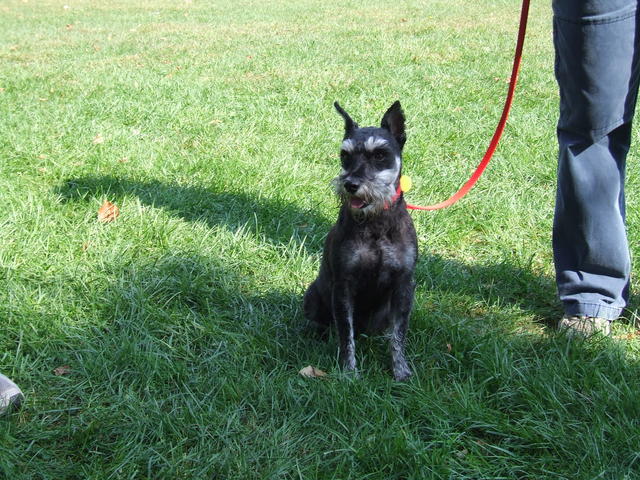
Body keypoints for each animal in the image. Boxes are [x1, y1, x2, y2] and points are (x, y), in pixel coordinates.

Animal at [303, 101, 418, 380]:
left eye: (380, 155)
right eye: (345, 155)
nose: (351, 184)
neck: (376, 224)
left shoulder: (404, 285)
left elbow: (398, 335)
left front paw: (401, 371)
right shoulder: (344, 286)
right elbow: (346, 334)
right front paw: (349, 372)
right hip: (314, 296)